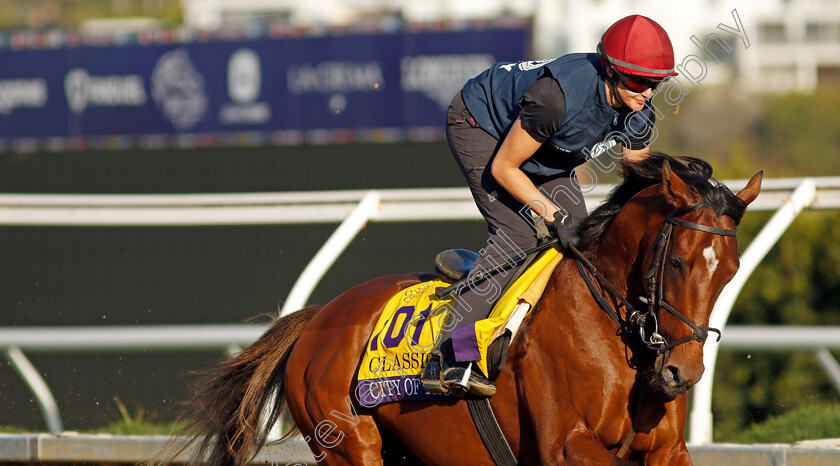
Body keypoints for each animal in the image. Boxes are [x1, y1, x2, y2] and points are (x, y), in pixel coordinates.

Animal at [176, 155, 760, 464]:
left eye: (730, 270)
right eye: (679, 262)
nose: (682, 373)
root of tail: (317, 320)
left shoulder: (666, 449)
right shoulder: (567, 446)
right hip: (349, 446)